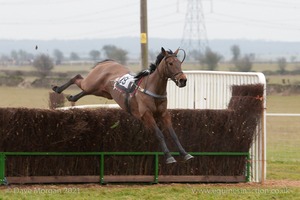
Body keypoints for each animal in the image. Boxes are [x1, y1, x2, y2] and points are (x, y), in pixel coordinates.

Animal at [52, 47, 193, 163]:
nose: (183, 80)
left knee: (83, 89)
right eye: (170, 63)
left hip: (102, 92)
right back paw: (57, 89)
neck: (153, 89)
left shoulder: (164, 114)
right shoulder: (146, 115)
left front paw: (185, 154)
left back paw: (72, 97)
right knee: (77, 77)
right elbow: (159, 134)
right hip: (91, 83)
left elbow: (173, 134)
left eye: (180, 63)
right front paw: (169, 157)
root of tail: (106, 63)